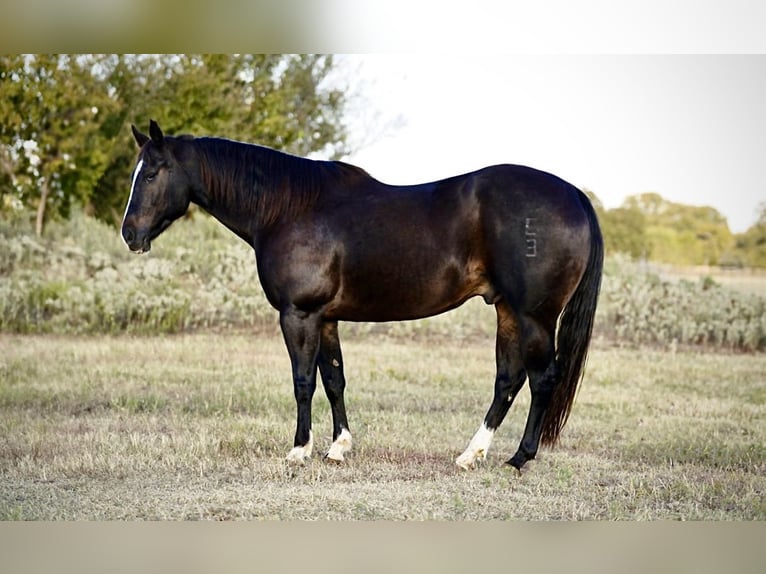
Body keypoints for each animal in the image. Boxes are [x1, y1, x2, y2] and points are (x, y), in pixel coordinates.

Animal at [121, 121, 608, 472]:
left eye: (151, 173)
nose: (129, 235)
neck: (287, 208)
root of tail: (575, 196)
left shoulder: (298, 315)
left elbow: (303, 382)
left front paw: (300, 450)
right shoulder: (325, 317)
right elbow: (334, 379)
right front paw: (339, 448)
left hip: (535, 316)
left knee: (543, 380)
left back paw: (519, 458)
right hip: (507, 311)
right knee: (507, 380)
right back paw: (471, 455)